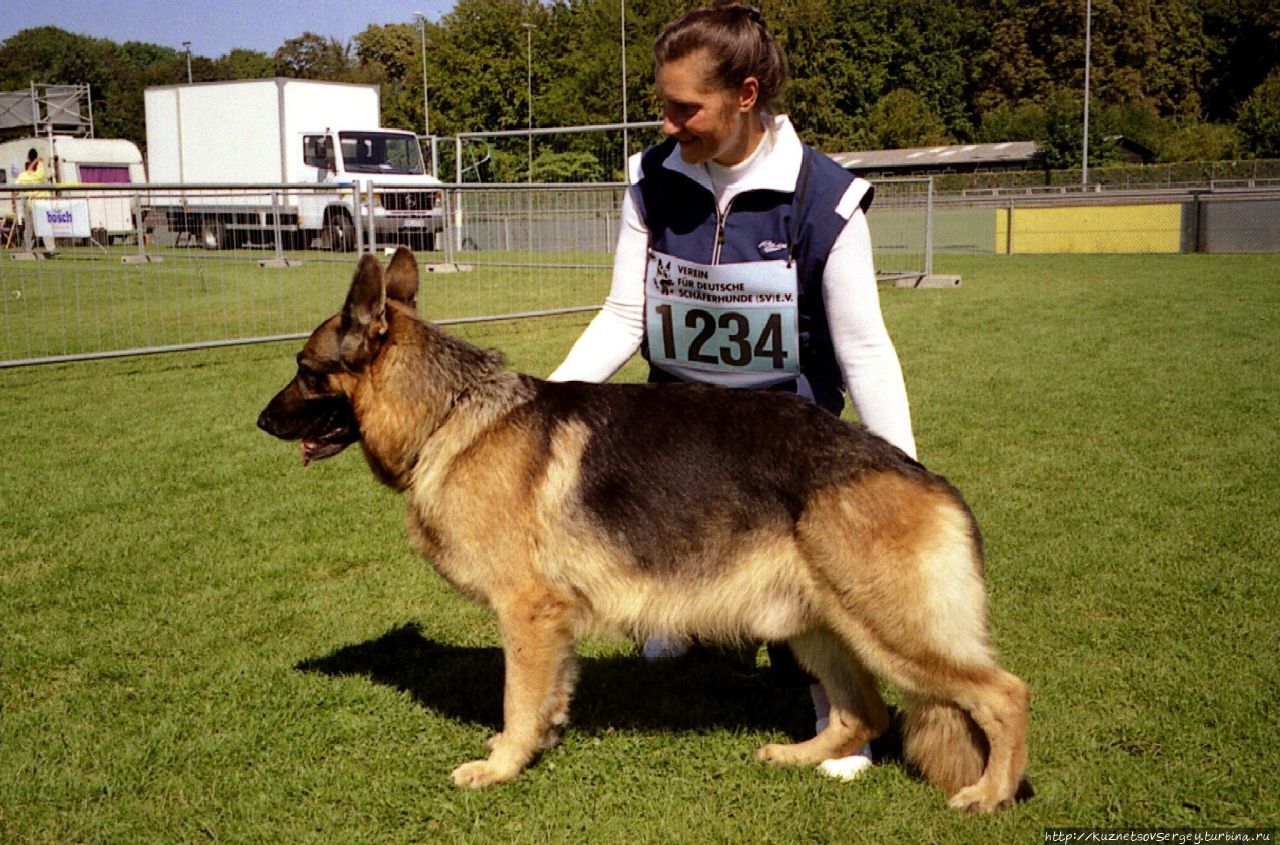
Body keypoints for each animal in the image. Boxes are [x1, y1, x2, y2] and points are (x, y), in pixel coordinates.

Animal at [257, 247, 1029, 809]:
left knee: (1004, 695)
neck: (450, 414)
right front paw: (537, 745)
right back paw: (798, 756)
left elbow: (515, 700)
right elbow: (545, 698)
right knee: (862, 713)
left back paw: (988, 795)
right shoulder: (550, 626)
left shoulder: (525, 613)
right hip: (818, 625)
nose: (260, 421)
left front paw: (501, 765)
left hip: (889, 630)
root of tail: (927, 479)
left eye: (304, 369)